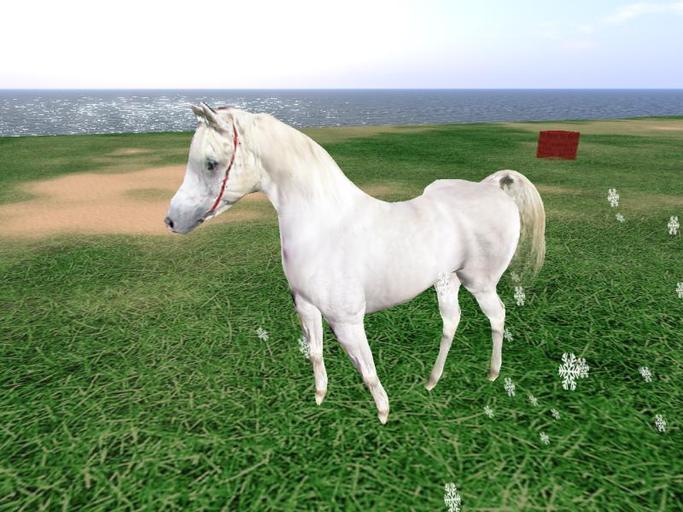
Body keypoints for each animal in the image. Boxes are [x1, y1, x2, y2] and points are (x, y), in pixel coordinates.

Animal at [165, 103, 546, 424]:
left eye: (211, 163)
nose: (171, 221)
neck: (323, 225)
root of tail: (491, 187)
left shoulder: (347, 321)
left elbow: (367, 370)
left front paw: (383, 415)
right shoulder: (306, 307)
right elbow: (316, 354)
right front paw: (320, 398)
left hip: (479, 282)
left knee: (497, 316)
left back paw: (492, 374)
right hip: (446, 281)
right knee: (452, 321)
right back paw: (432, 381)